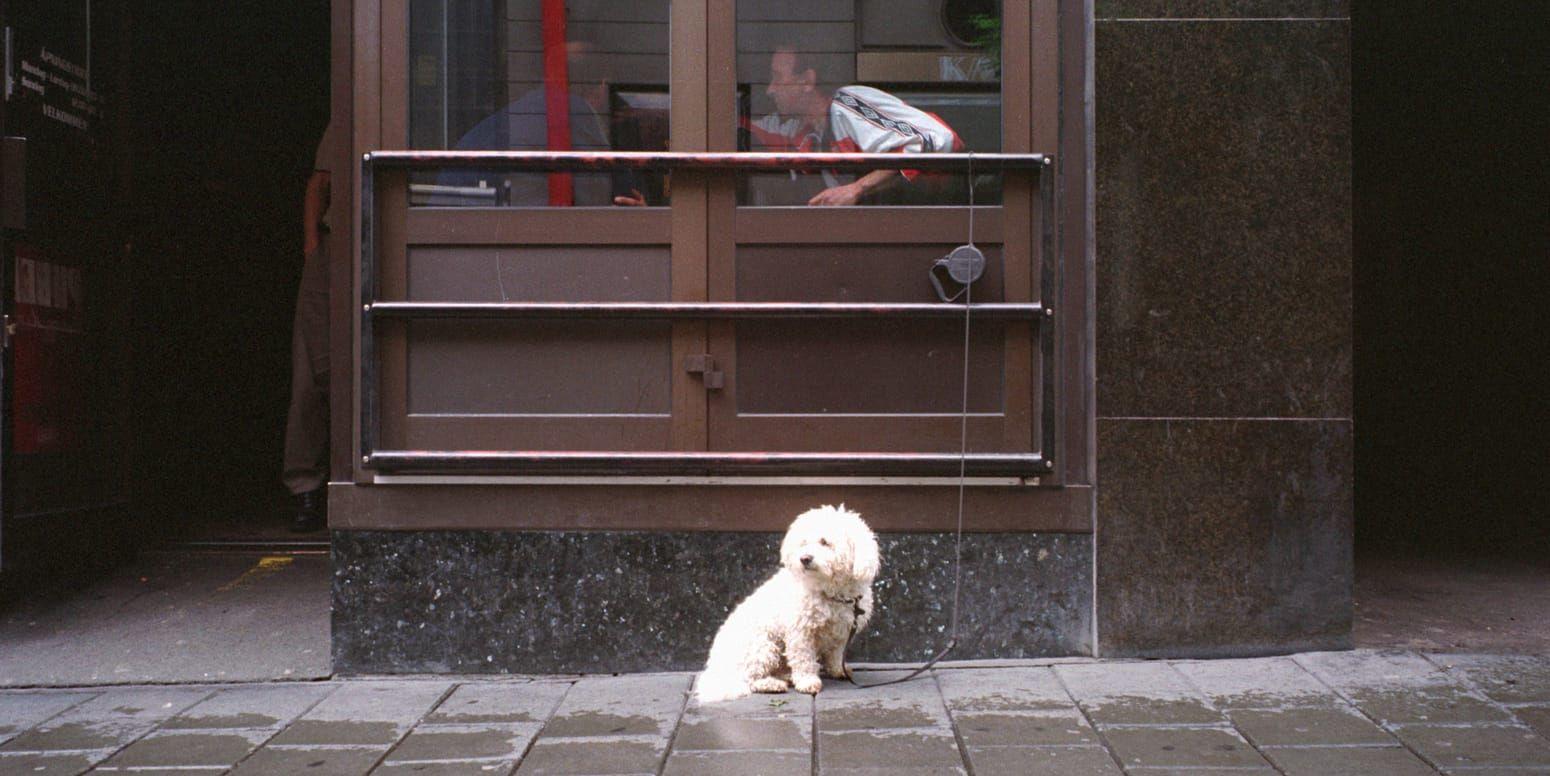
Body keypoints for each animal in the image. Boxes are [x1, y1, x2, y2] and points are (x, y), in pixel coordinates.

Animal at [697, 504, 880, 700]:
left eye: (824, 542)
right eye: (803, 542)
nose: (805, 558)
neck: (831, 592)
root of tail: (715, 670)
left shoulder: (842, 631)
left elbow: (837, 654)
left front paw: (840, 670)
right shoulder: (800, 631)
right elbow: (803, 658)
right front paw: (808, 681)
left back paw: (785, 676)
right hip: (762, 647)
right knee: (748, 679)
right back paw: (771, 684)